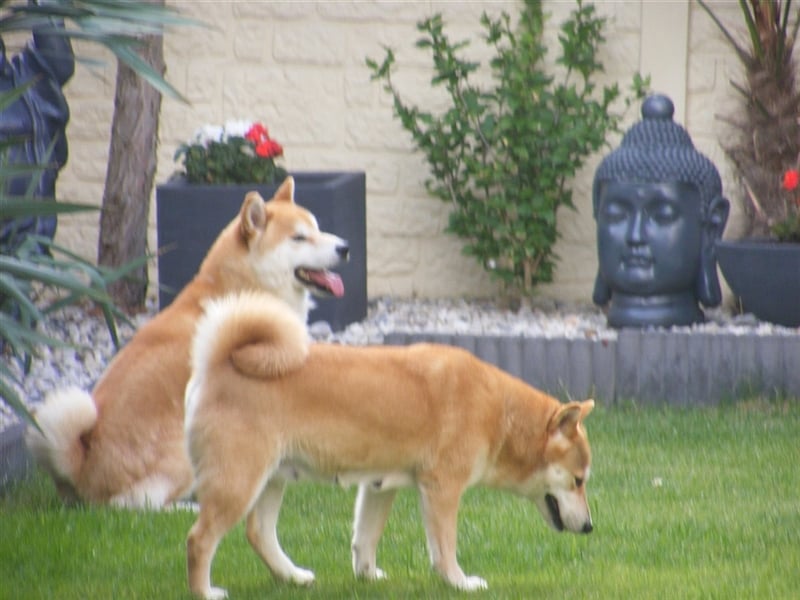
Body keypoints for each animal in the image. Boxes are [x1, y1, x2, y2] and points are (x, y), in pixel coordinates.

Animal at [26, 177, 346, 506]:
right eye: (299, 237)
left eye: (317, 229)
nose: (345, 248)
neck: (244, 287)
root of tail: (84, 470)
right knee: (138, 503)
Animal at [184, 290, 592, 596]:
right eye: (578, 480)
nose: (590, 528)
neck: (499, 413)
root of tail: (219, 362)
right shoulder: (442, 488)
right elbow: (445, 547)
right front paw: (459, 582)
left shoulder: (378, 486)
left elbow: (365, 539)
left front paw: (367, 577)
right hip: (239, 481)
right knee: (199, 539)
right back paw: (205, 592)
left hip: (273, 477)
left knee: (259, 533)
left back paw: (293, 576)